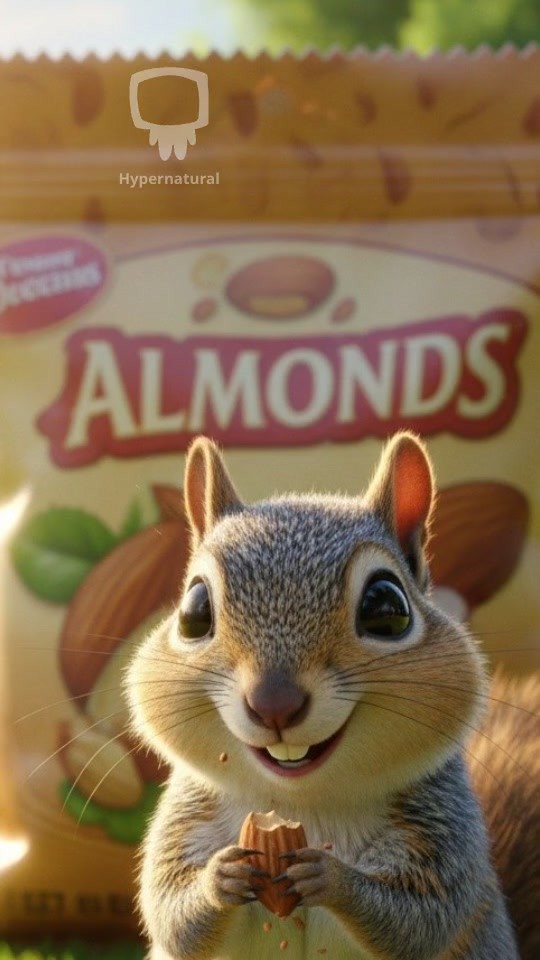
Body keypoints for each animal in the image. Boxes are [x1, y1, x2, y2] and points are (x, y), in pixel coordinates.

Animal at [127, 432, 539, 960]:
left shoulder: (443, 829)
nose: (274, 703)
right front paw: (220, 876)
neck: (301, 804)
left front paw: (334, 877)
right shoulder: (184, 817)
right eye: (194, 611)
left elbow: (421, 917)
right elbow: (168, 905)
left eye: (388, 608)